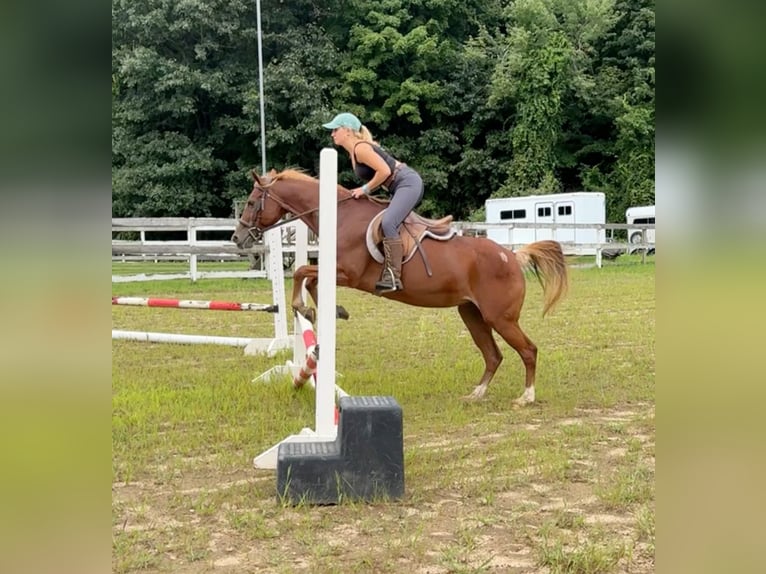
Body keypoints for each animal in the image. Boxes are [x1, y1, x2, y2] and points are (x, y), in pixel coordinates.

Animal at [234, 171, 568, 404]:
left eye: (250, 203)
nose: (238, 238)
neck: (342, 219)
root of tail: (512, 256)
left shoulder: (349, 273)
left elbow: (302, 271)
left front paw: (304, 307)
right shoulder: (339, 273)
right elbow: (310, 278)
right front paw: (330, 310)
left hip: (500, 318)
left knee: (528, 350)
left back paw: (526, 397)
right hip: (471, 314)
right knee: (493, 355)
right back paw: (476, 394)